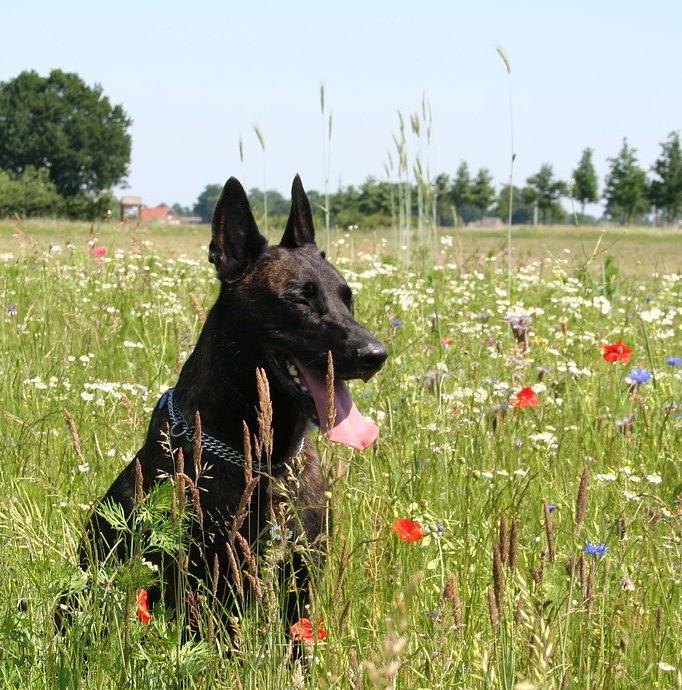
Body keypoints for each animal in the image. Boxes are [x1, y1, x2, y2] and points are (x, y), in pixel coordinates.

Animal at [73, 176, 388, 636]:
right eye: (301, 299)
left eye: (348, 299)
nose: (375, 355)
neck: (263, 461)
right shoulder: (205, 588)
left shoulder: (300, 585)